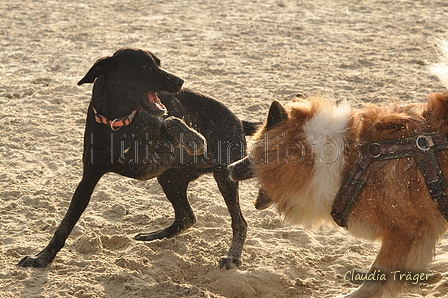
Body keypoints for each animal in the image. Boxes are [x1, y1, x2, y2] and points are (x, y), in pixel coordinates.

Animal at [18, 47, 256, 268]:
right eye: (144, 67)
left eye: (158, 64)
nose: (180, 81)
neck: (118, 123)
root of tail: (238, 120)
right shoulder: (89, 178)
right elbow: (65, 224)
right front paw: (43, 256)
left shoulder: (161, 152)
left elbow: (171, 121)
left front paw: (194, 138)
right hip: (170, 179)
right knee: (186, 217)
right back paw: (155, 235)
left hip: (225, 175)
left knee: (239, 222)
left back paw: (232, 256)